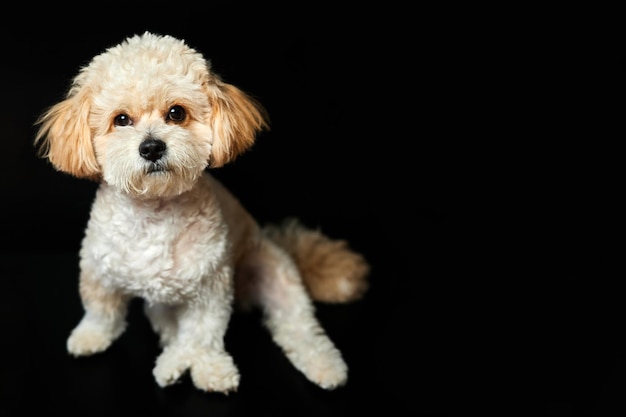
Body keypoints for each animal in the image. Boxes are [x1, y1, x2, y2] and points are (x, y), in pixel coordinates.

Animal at [34, 32, 368, 394]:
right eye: (121, 119)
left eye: (176, 113)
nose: (152, 147)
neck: (155, 211)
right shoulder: (98, 271)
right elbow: (101, 311)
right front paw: (90, 337)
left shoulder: (210, 287)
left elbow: (203, 332)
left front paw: (210, 368)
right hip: (163, 299)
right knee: (167, 323)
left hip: (277, 277)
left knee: (299, 325)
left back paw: (324, 365)